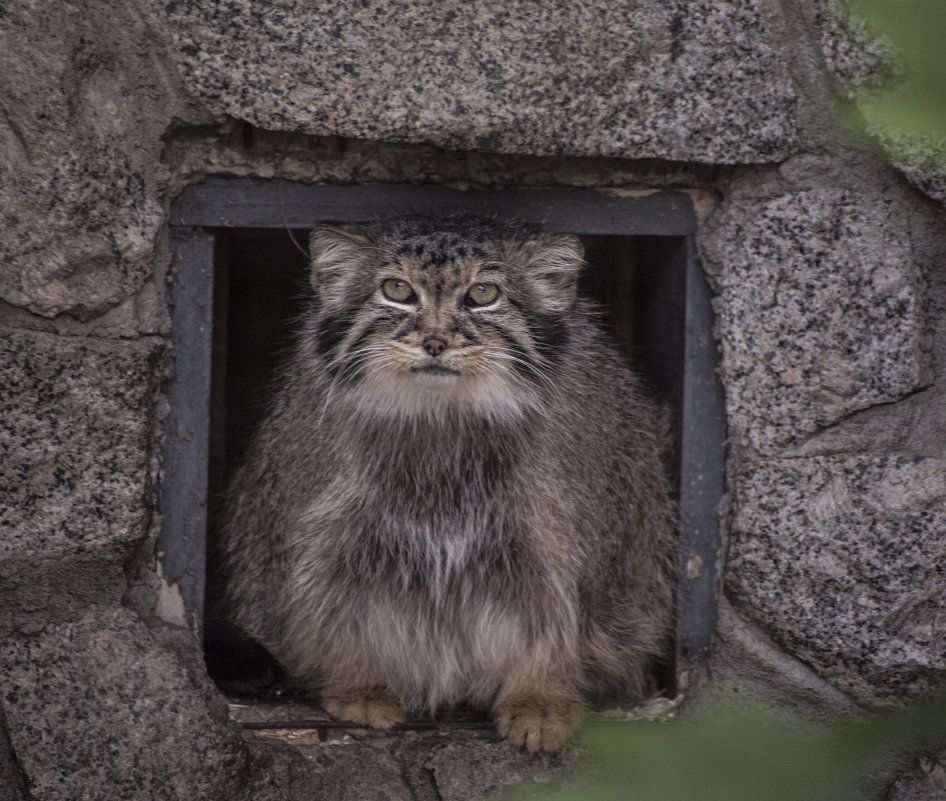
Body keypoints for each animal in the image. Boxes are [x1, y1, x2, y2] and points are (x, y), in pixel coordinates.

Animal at [221, 212, 676, 752]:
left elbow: (559, 627)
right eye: (397, 290)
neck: (443, 423)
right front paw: (361, 686)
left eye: (482, 294)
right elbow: (331, 614)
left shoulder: (563, 546)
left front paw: (541, 699)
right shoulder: (325, 537)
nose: (435, 342)